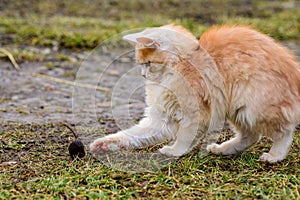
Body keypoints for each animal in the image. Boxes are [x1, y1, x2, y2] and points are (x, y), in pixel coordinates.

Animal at [89, 24, 300, 163]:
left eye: (147, 63)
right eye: (141, 64)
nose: (143, 74)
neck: (180, 65)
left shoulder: (194, 113)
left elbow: (184, 137)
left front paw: (174, 151)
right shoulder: (161, 118)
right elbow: (131, 134)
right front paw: (103, 144)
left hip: (254, 108)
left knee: (284, 132)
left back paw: (274, 156)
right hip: (237, 110)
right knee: (251, 136)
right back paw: (222, 149)